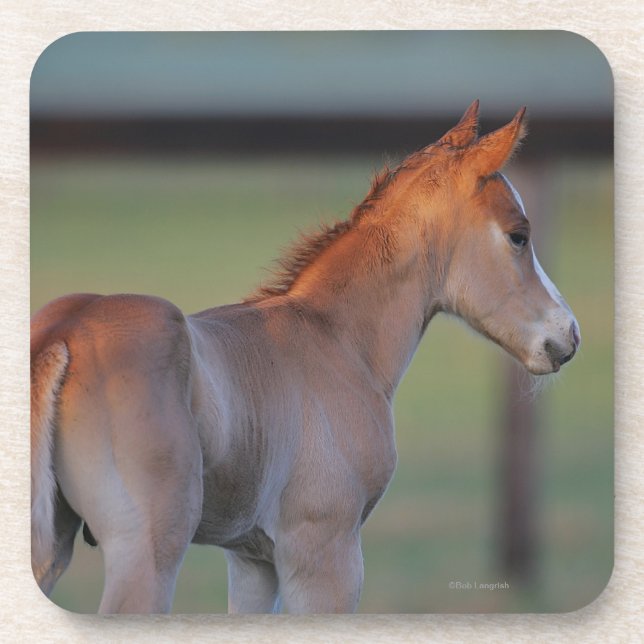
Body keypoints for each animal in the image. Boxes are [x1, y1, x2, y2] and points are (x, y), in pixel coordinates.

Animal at [31, 101, 580, 613]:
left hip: (50, 549)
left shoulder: (252, 560)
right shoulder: (324, 551)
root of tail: (64, 333)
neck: (336, 341)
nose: (568, 336)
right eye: (518, 235)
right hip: (147, 551)